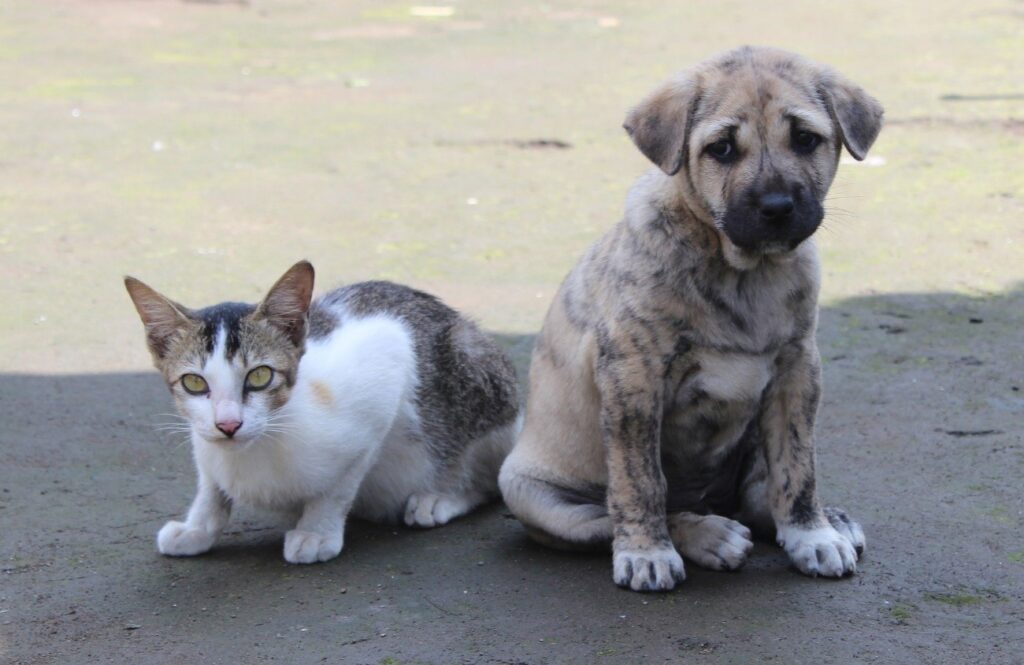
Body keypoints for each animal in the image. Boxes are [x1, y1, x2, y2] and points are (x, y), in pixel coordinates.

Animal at [123, 262, 520, 561]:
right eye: (193, 383)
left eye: (260, 376)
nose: (228, 424)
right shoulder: (203, 440)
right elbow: (210, 485)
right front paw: (198, 527)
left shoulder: (385, 371)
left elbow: (340, 485)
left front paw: (316, 531)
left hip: (477, 372)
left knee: (489, 479)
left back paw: (443, 496)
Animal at [499, 45, 884, 590]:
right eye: (720, 149)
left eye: (805, 139)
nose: (777, 207)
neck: (742, 272)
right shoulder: (633, 378)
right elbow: (641, 481)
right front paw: (647, 553)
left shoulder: (797, 370)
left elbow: (797, 467)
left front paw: (811, 533)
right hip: (533, 494)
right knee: (615, 515)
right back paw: (707, 535)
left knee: (759, 495)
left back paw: (826, 520)